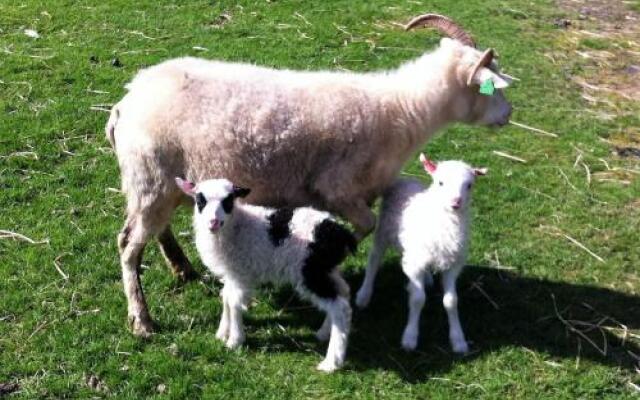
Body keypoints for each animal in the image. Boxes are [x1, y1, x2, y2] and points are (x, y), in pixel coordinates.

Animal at [174, 176, 356, 372]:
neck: (236, 226)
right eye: (200, 200)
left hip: (310, 271)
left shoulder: (240, 274)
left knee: (340, 307)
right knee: (344, 292)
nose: (213, 222)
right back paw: (323, 333)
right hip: (327, 269)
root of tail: (339, 232)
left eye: (228, 201)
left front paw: (235, 341)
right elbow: (226, 298)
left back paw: (332, 362)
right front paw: (222, 332)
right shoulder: (232, 273)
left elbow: (234, 303)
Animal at [356, 153, 484, 354]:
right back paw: (364, 294)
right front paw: (410, 337)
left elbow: (451, 301)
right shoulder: (415, 264)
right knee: (374, 259)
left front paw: (458, 340)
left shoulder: (453, 265)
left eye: (469, 185)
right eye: (440, 182)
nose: (456, 202)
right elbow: (417, 299)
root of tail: (405, 179)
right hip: (383, 231)